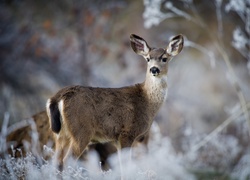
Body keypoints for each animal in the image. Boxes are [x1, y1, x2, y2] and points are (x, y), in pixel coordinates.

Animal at [46, 32, 184, 176]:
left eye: (164, 58)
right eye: (148, 59)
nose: (154, 69)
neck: (147, 101)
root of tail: (57, 98)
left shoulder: (117, 139)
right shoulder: (127, 133)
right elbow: (125, 166)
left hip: (60, 135)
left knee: (55, 162)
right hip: (81, 130)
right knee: (67, 160)